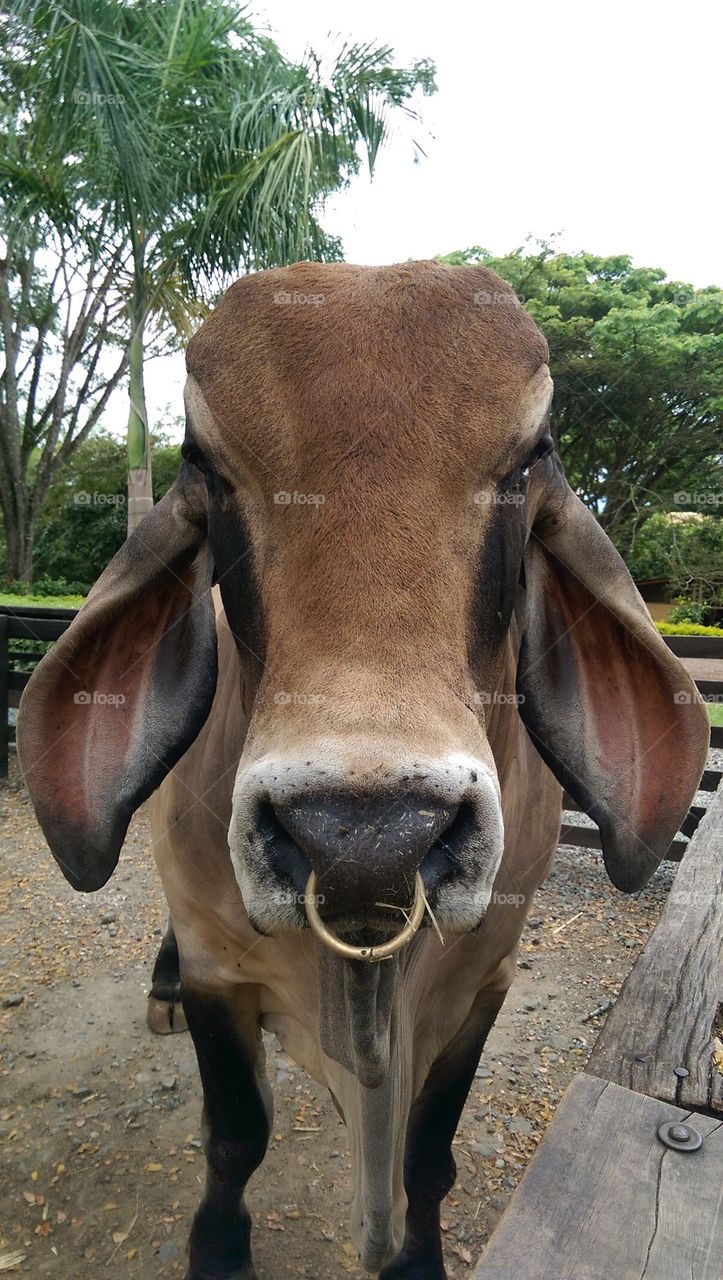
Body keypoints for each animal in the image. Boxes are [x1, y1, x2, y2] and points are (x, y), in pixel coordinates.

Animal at [17, 261, 709, 1280]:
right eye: (204, 463)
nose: (366, 842)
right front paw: (218, 1249)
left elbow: (428, 1159)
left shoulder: (483, 983)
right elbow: (235, 1138)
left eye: (527, 459)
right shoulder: (223, 976)